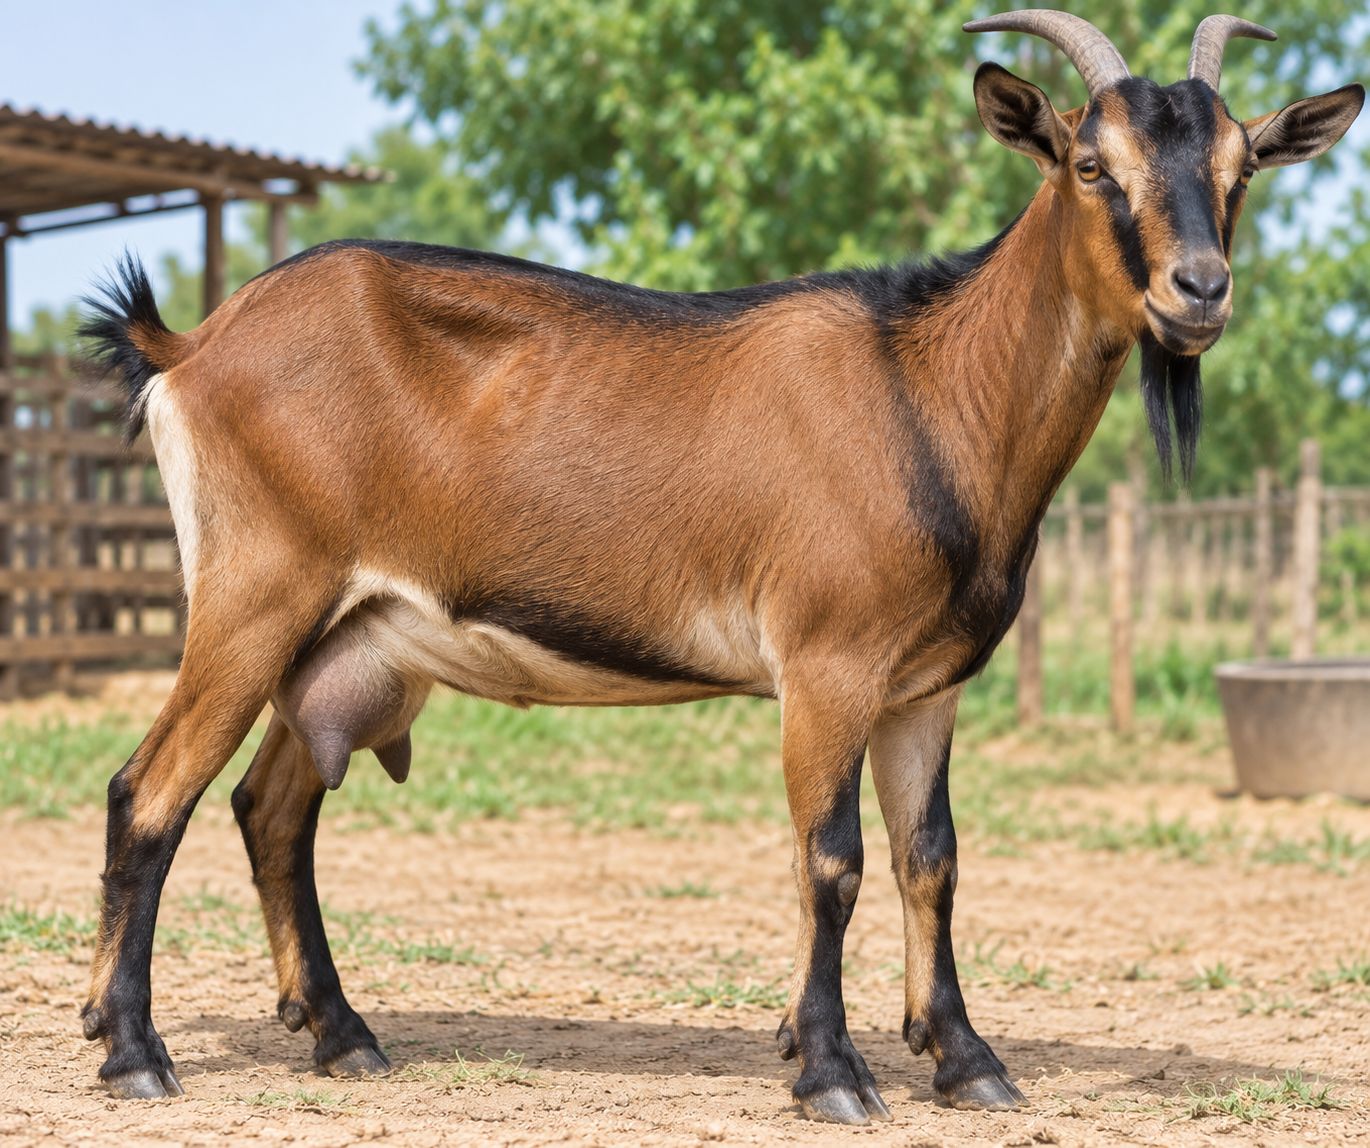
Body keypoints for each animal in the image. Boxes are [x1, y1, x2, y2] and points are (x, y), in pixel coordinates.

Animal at [77, 10, 1361, 1125]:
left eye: (1242, 166)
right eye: (1089, 163)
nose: (1196, 291)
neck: (933, 390)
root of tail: (192, 343)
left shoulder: (925, 686)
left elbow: (931, 858)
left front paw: (962, 1057)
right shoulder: (827, 663)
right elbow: (832, 859)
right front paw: (833, 1069)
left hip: (351, 636)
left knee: (269, 807)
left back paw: (341, 1034)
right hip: (255, 594)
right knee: (151, 791)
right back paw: (135, 1050)